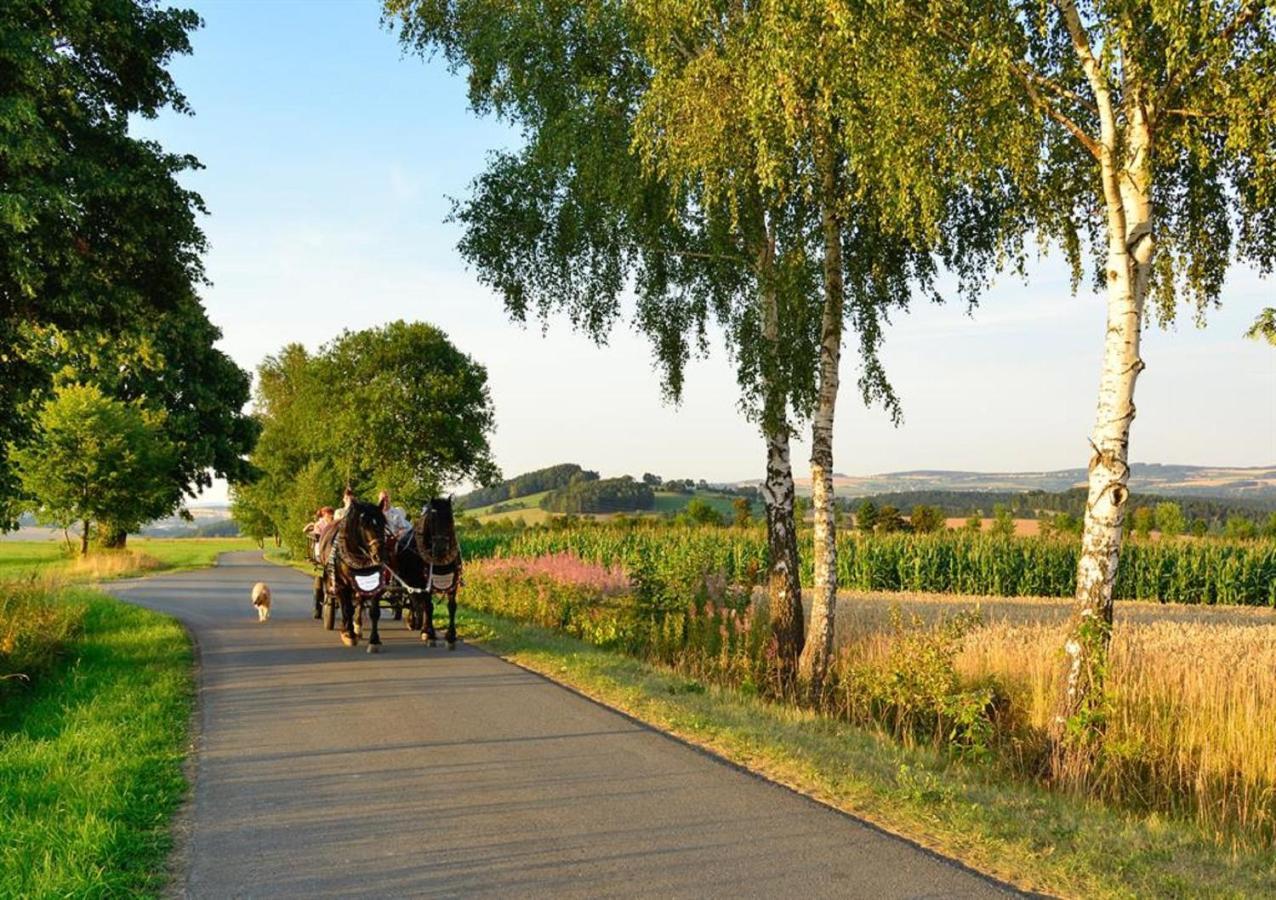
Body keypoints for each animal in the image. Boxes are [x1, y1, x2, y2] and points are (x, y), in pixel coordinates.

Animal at [324, 497, 387, 653]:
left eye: (383, 523)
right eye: (363, 526)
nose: (379, 555)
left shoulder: (375, 584)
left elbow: (374, 612)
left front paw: (374, 641)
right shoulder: (342, 585)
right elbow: (347, 609)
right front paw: (349, 635)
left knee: (358, 601)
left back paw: (357, 627)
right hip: (336, 583)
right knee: (343, 604)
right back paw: (346, 629)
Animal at [395, 497, 467, 645]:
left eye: (450, 518)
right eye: (432, 520)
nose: (441, 548)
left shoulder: (453, 582)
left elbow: (452, 606)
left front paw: (451, 634)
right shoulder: (424, 583)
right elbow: (429, 606)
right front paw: (429, 632)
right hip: (410, 581)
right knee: (415, 600)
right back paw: (416, 622)